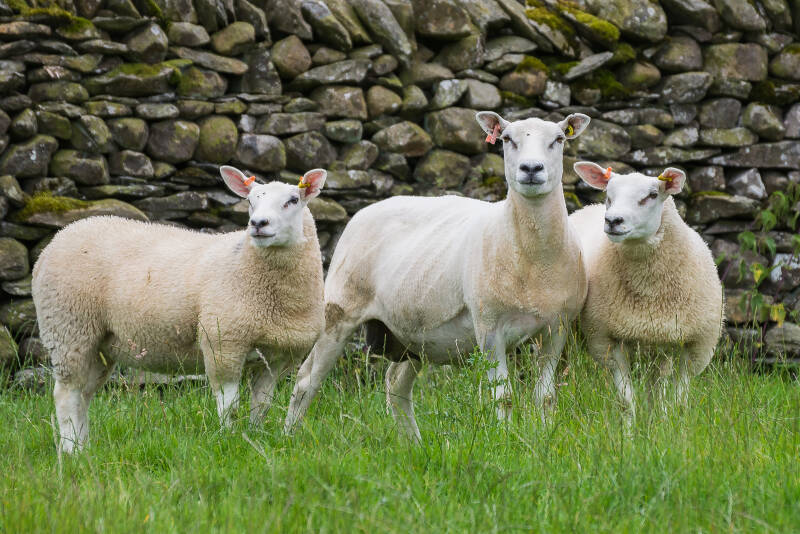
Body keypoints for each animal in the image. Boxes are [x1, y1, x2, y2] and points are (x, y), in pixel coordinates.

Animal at [32, 166, 327, 453]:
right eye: (251, 201)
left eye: (293, 200)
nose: (258, 224)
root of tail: (60, 236)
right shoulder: (223, 344)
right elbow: (228, 403)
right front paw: (229, 439)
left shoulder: (278, 357)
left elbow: (262, 405)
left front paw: (255, 437)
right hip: (68, 328)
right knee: (66, 394)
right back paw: (71, 450)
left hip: (100, 344)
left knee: (83, 394)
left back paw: (83, 448)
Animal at [283, 111, 591, 439]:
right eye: (507, 139)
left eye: (558, 139)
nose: (531, 169)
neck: (535, 263)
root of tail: (368, 209)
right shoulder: (489, 329)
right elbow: (504, 397)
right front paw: (506, 440)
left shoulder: (556, 329)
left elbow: (545, 397)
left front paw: (544, 437)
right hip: (340, 310)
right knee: (306, 380)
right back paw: (288, 436)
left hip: (413, 336)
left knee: (396, 384)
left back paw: (414, 444)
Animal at [569, 162, 724, 420]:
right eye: (609, 195)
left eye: (651, 195)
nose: (612, 220)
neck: (650, 294)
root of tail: (589, 208)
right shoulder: (609, 342)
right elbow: (626, 401)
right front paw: (630, 431)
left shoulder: (692, 345)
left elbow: (677, 401)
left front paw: (670, 427)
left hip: (658, 348)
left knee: (656, 387)